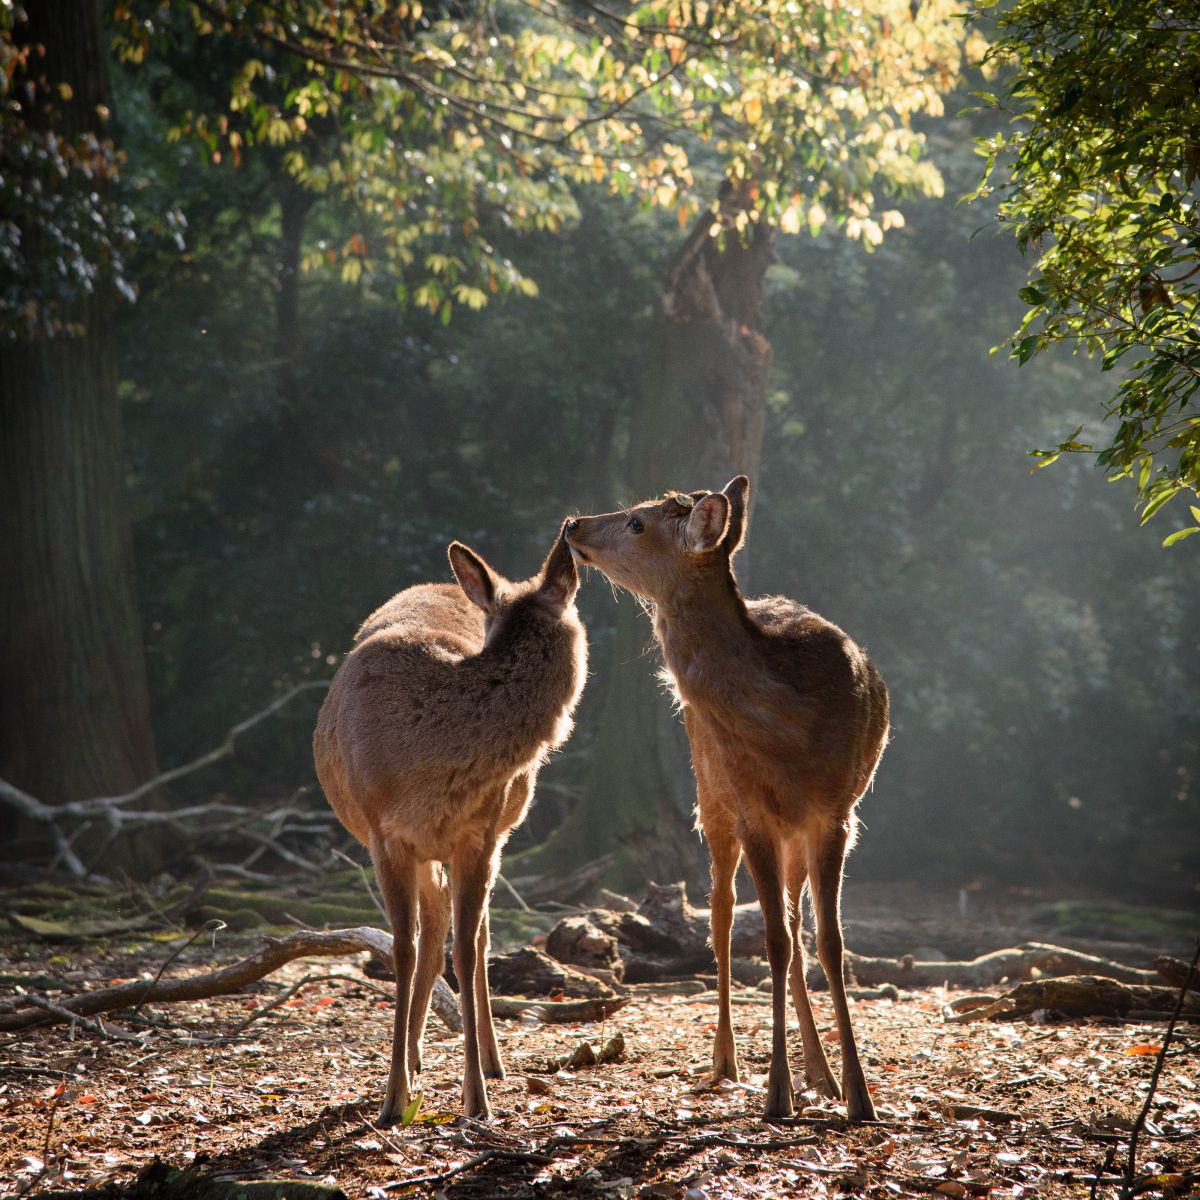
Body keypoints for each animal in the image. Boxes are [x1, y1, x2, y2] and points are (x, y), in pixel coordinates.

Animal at [313, 526, 586, 1125]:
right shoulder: (384, 833)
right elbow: (403, 949)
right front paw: (393, 1098)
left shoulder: (479, 835)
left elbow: (466, 947)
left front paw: (475, 1097)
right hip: (418, 848)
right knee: (432, 932)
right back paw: (413, 1058)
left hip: (495, 831)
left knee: (472, 937)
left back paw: (490, 1060)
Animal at [564, 476, 888, 1122]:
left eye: (637, 522)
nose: (573, 525)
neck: (789, 725)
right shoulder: (750, 808)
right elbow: (772, 941)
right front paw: (777, 1094)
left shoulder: (836, 812)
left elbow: (830, 943)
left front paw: (859, 1096)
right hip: (710, 796)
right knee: (720, 917)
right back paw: (727, 1062)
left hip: (792, 831)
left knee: (793, 921)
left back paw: (822, 1077)